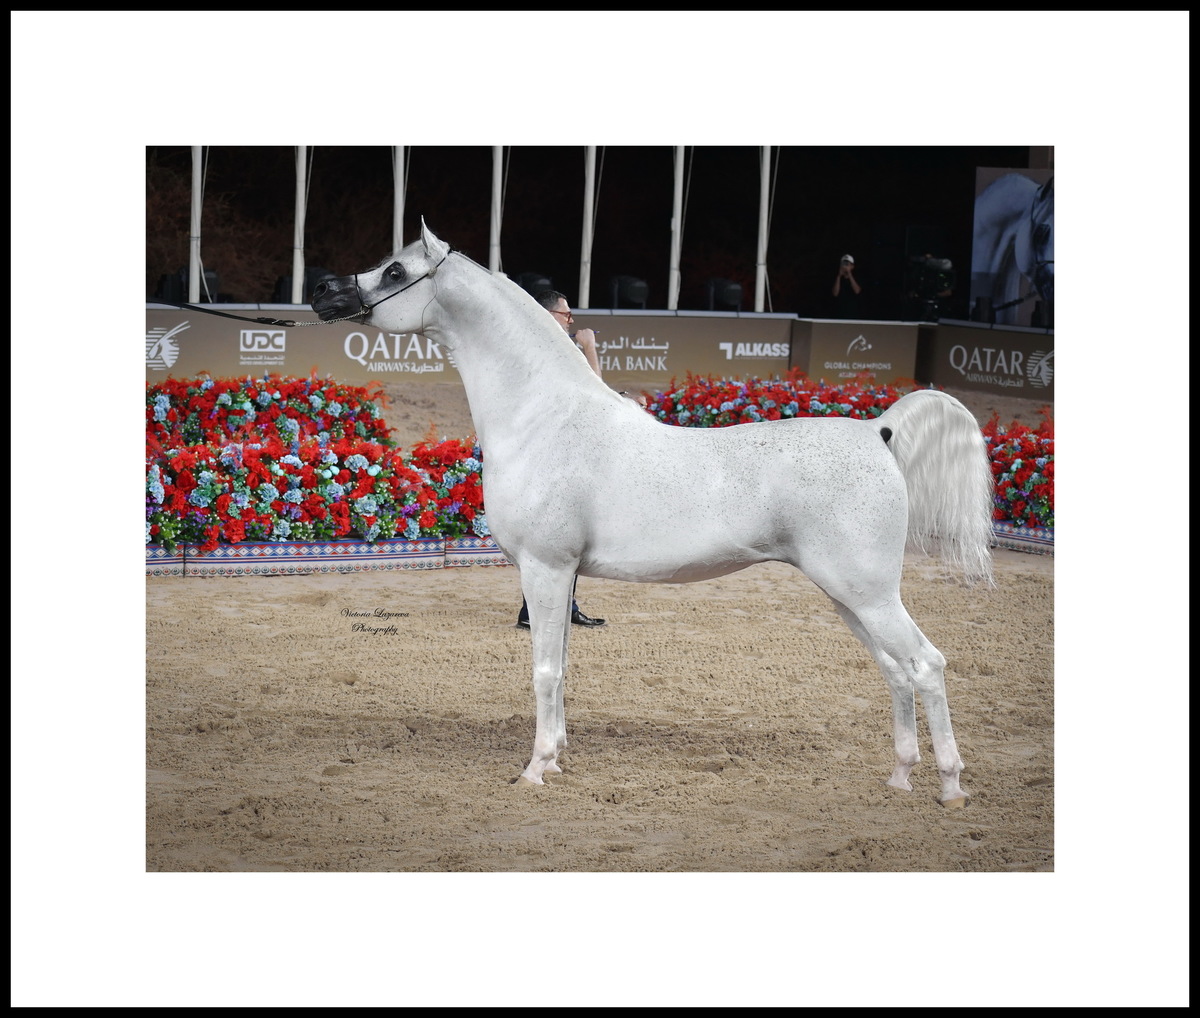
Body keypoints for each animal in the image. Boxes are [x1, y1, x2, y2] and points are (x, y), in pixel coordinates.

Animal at [312, 221, 996, 807]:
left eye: (395, 268)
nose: (321, 291)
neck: (545, 417)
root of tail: (876, 431)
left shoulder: (546, 569)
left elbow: (544, 670)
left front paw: (535, 768)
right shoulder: (560, 577)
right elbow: (563, 666)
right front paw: (559, 758)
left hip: (868, 593)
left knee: (926, 666)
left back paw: (950, 787)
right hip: (849, 596)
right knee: (896, 673)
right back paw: (900, 777)